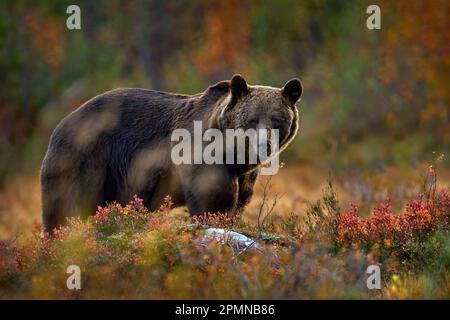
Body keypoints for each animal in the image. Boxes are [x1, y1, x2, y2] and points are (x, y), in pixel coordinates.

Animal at [41, 75, 302, 232]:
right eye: (252, 120)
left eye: (277, 121)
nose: (264, 145)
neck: (234, 153)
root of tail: (62, 123)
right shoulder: (201, 153)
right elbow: (213, 198)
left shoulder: (244, 173)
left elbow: (239, 201)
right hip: (86, 159)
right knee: (66, 205)